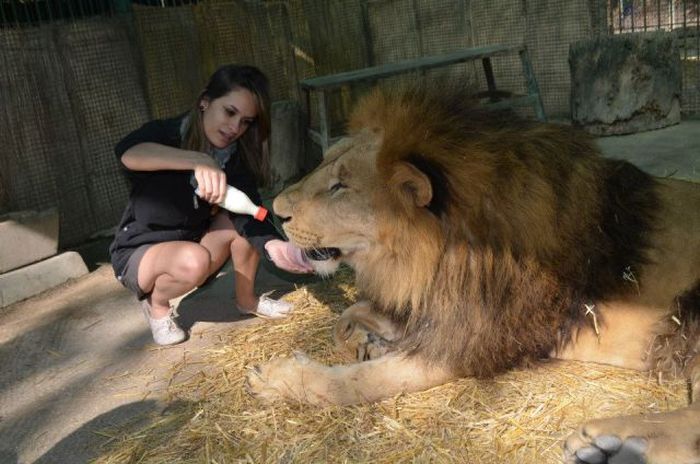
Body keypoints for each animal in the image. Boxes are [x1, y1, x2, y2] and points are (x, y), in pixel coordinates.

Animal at [247, 85, 700, 462]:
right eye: (322, 167)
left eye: (340, 187)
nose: (275, 213)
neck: (425, 255)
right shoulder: (438, 304)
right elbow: (350, 317)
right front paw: (367, 339)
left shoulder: (470, 341)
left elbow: (360, 381)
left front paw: (282, 378)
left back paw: (609, 443)